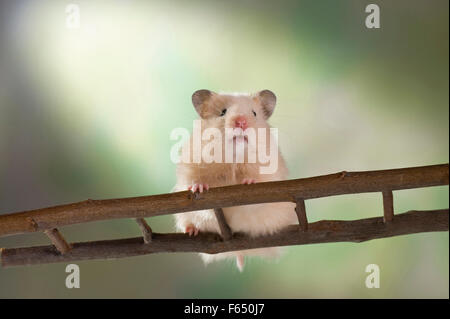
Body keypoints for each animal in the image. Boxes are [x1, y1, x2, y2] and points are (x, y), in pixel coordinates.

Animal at [173, 90, 298, 272]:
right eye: (223, 112)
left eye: (254, 113)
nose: (241, 122)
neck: (234, 157)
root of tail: (238, 252)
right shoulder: (189, 169)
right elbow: (199, 190)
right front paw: (199, 187)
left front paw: (249, 182)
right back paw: (191, 230)